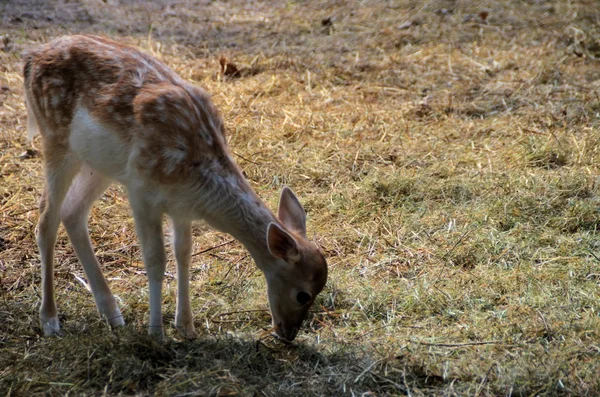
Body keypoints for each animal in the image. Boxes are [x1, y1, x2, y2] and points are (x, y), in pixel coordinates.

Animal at [22, 34, 328, 340]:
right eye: (303, 295)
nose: (288, 334)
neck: (196, 179)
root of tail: (30, 56)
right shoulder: (142, 190)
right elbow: (156, 259)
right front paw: (156, 332)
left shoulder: (181, 207)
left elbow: (184, 253)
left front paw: (186, 327)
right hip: (56, 138)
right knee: (46, 220)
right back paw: (50, 320)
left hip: (99, 164)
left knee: (72, 212)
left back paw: (113, 314)